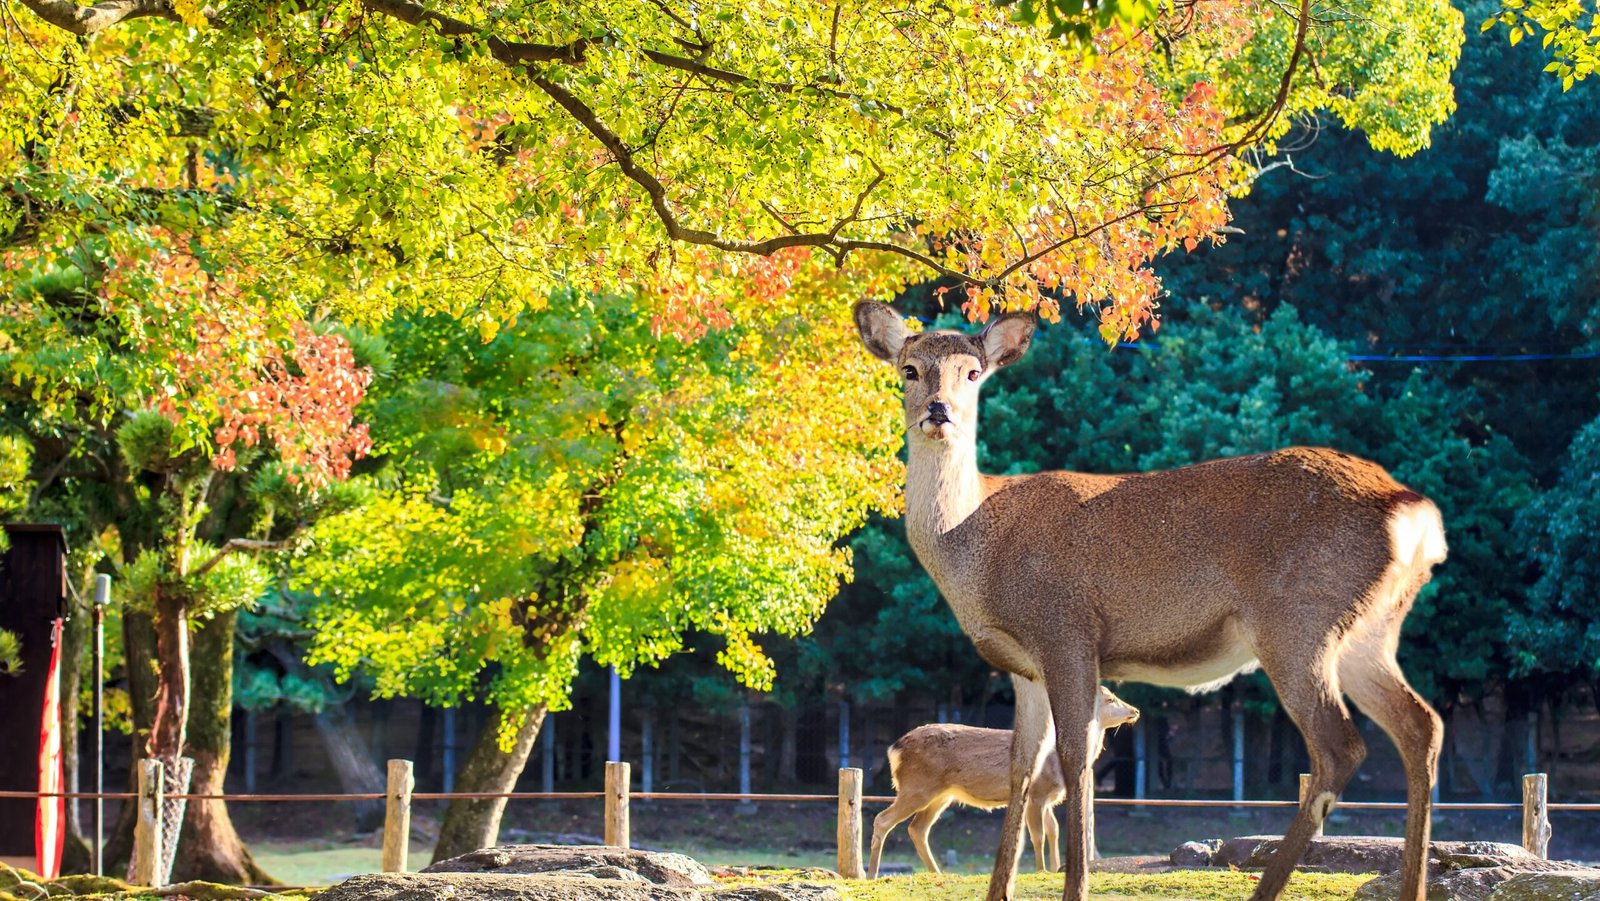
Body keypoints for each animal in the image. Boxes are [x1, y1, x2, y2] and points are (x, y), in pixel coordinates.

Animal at [868, 683, 1139, 879]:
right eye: (1111, 699)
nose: (1135, 711)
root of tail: (894, 749)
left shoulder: (1048, 798)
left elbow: (1054, 830)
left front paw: (1055, 868)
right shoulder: (1037, 793)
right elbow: (1038, 835)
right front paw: (1040, 870)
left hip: (941, 794)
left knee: (918, 828)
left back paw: (938, 873)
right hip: (917, 787)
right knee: (883, 819)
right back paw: (871, 874)